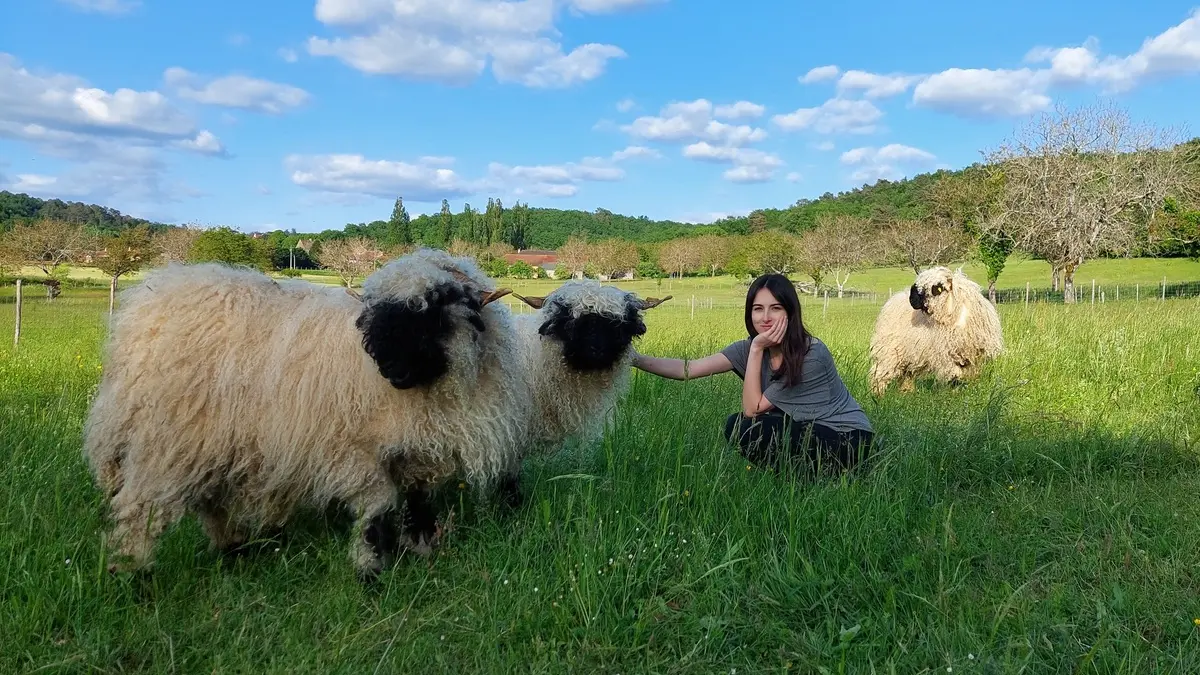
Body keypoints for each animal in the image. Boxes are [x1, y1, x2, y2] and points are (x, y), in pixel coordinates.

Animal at [82, 248, 528, 578]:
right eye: (378, 316)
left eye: (434, 312)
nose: (391, 370)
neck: (432, 390)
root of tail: (147, 306)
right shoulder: (353, 450)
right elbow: (376, 506)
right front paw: (370, 568)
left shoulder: (419, 445)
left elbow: (418, 498)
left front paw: (421, 546)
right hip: (169, 438)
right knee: (141, 508)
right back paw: (133, 575)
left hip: (212, 439)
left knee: (211, 500)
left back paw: (234, 549)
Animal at [873, 263, 1003, 393]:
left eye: (934, 288)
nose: (911, 300)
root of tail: (895, 298)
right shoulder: (946, 354)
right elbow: (955, 377)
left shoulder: (974, 356)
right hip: (888, 351)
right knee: (880, 375)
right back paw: (878, 394)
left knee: (907, 375)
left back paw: (906, 392)